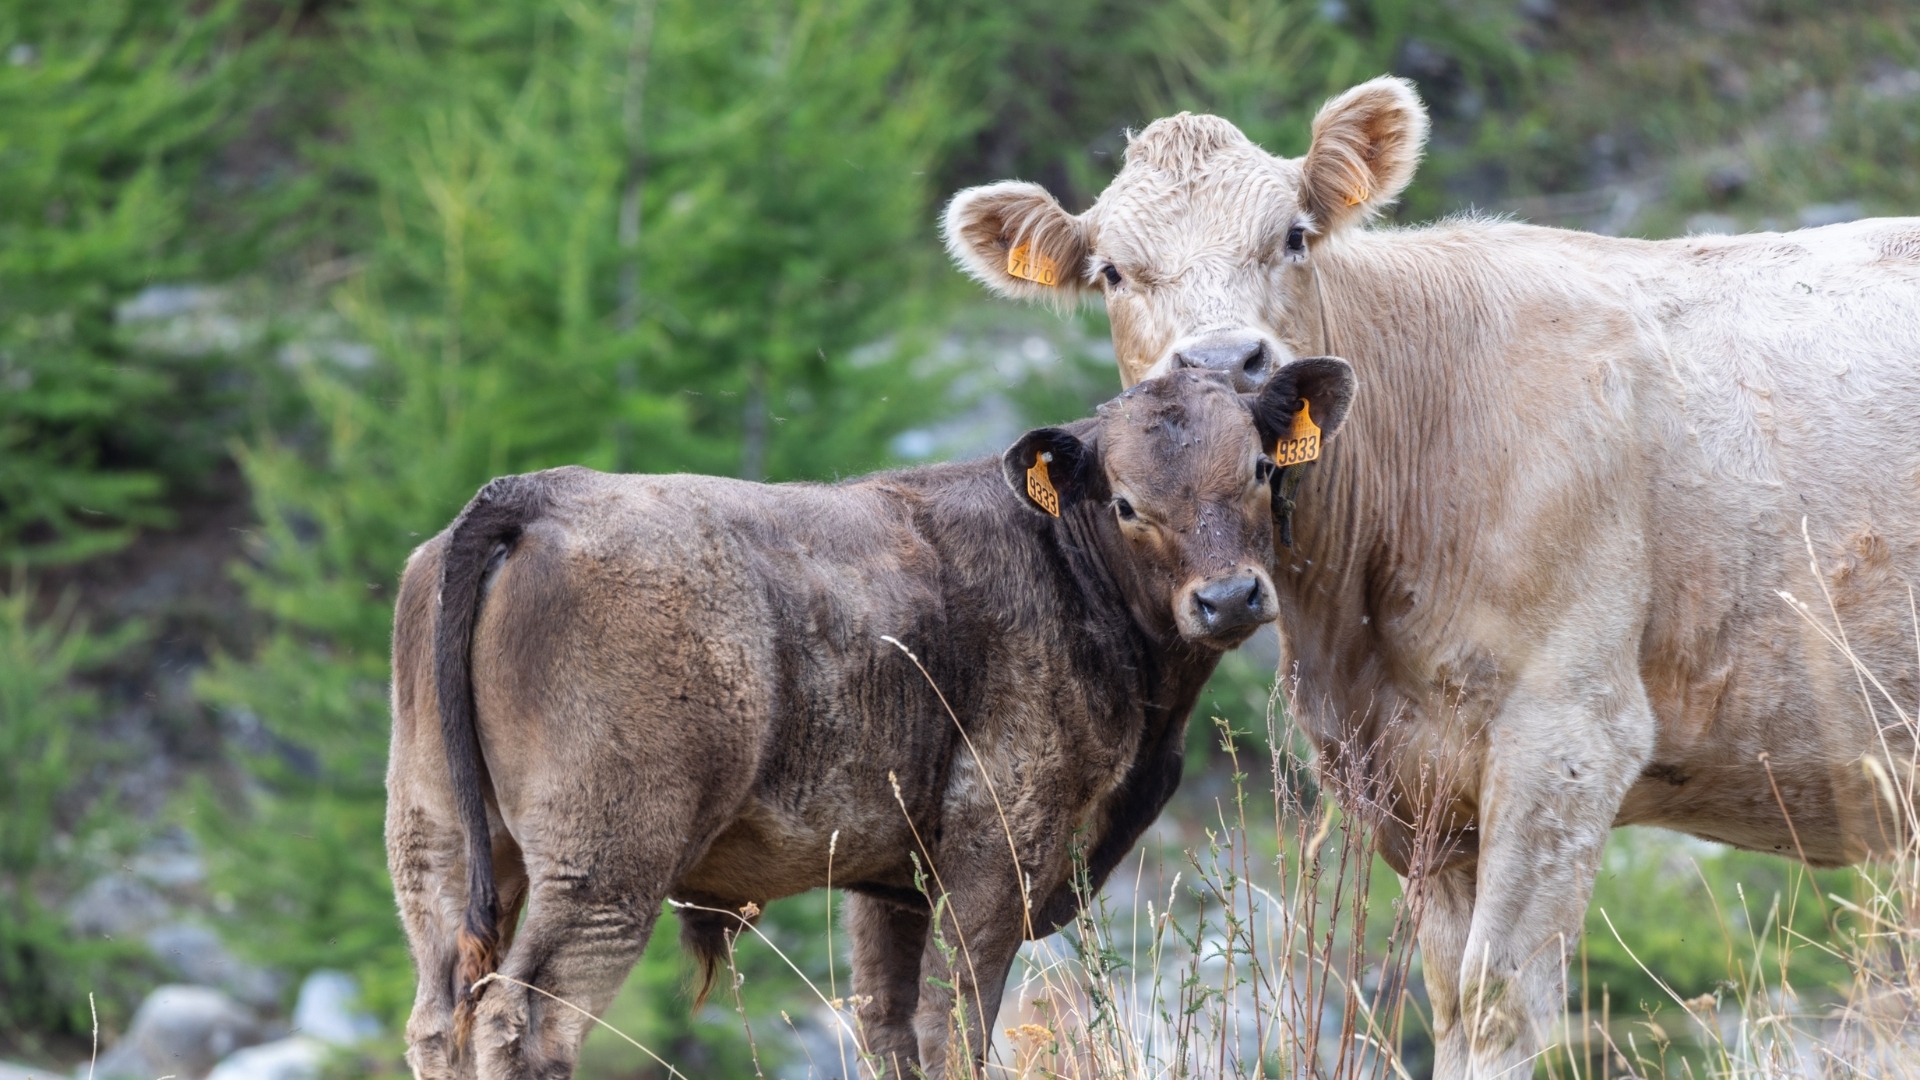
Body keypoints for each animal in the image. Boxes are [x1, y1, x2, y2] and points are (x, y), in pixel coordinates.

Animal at [385, 365, 1358, 1080]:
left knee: (441, 1016)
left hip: (441, 846)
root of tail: (533, 492)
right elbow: (951, 1026)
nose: (1228, 597)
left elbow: (889, 1027)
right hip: (605, 869)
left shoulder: (892, 882)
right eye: (1125, 503)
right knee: (522, 1019)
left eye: (1260, 468)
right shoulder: (998, 850)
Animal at [944, 76, 1920, 1077]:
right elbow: (1449, 996)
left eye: (1294, 234)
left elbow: (1496, 1001)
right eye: (1111, 271)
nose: (1222, 362)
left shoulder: (1570, 731)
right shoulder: (1407, 779)